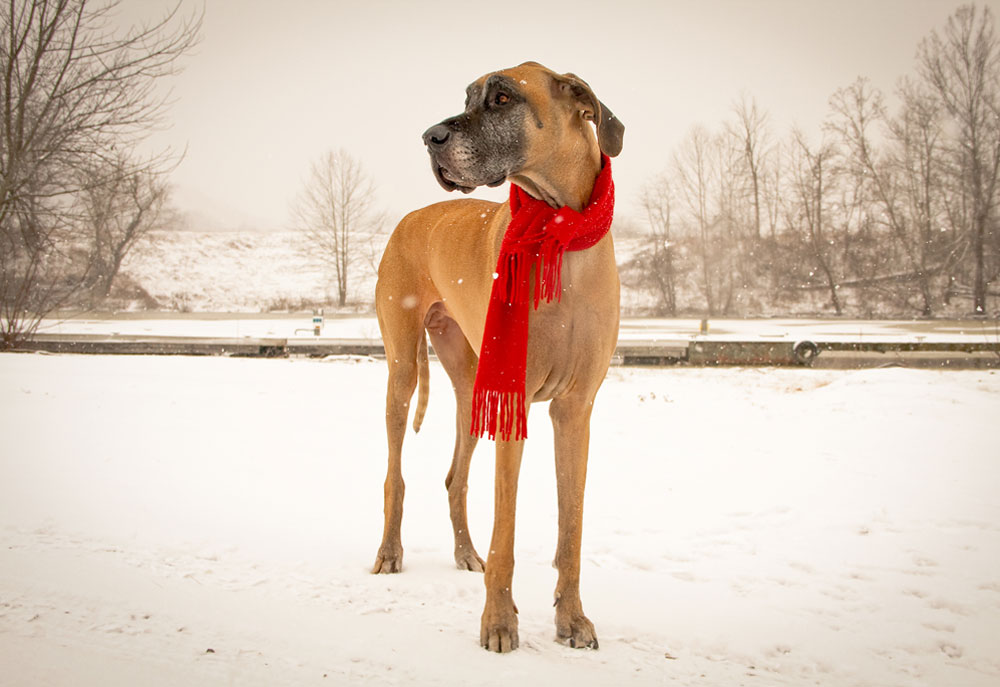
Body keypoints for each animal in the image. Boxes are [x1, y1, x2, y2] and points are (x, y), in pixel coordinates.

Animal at [376, 61, 624, 652]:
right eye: (467, 96)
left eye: (502, 97)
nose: (429, 137)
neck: (560, 237)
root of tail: (409, 217)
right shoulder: (515, 402)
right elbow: (506, 527)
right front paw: (498, 622)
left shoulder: (575, 410)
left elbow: (571, 524)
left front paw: (572, 618)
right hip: (403, 371)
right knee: (395, 475)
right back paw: (390, 553)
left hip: (471, 385)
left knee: (455, 479)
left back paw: (467, 553)